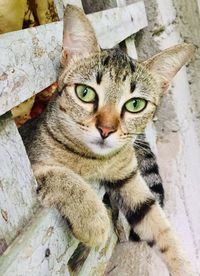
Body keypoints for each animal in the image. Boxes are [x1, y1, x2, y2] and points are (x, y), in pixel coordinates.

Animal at [19, 4, 195, 276]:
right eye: (85, 92)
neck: (96, 161)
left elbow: (161, 228)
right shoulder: (32, 160)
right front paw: (95, 221)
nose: (105, 129)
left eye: (135, 104)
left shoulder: (129, 179)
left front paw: (185, 265)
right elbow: (62, 176)